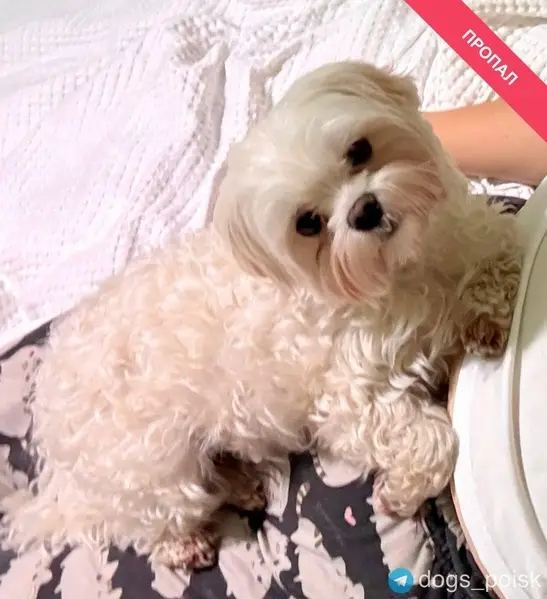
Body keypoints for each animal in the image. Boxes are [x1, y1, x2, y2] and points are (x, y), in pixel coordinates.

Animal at [1, 62, 521, 569]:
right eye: (308, 224)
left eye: (359, 150)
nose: (364, 209)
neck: (407, 267)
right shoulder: (351, 398)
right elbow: (431, 439)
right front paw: (402, 490)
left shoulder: (478, 237)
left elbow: (500, 261)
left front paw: (484, 316)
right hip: (152, 468)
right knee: (150, 520)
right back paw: (185, 544)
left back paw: (242, 486)